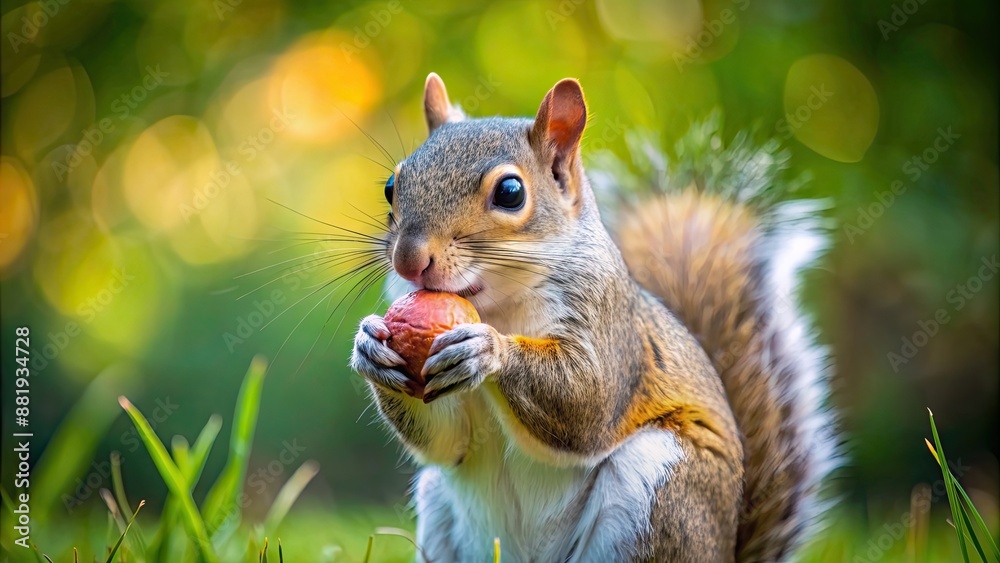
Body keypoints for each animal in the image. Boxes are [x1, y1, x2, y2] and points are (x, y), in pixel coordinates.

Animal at [352, 75, 836, 563]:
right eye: (392, 185)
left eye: (510, 193)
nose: (409, 260)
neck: (498, 306)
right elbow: (448, 441)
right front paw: (370, 348)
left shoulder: (607, 321)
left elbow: (588, 400)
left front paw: (488, 350)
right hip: (438, 505)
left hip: (663, 488)